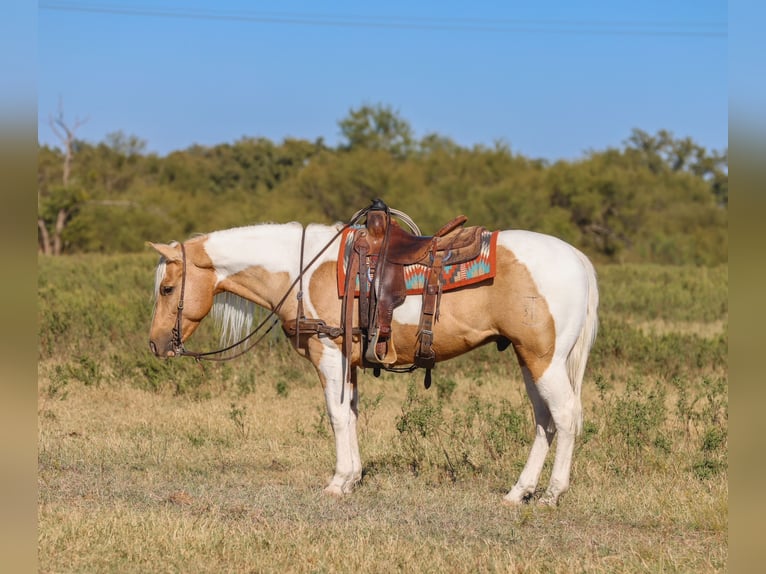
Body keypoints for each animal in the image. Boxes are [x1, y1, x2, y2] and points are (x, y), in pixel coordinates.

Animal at [147, 211, 599, 506]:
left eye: (167, 288)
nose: (156, 344)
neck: (302, 270)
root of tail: (578, 259)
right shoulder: (349, 363)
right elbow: (351, 414)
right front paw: (353, 479)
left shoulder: (329, 354)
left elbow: (336, 416)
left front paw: (338, 482)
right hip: (529, 359)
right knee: (544, 422)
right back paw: (518, 492)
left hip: (545, 360)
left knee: (565, 417)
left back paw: (552, 495)